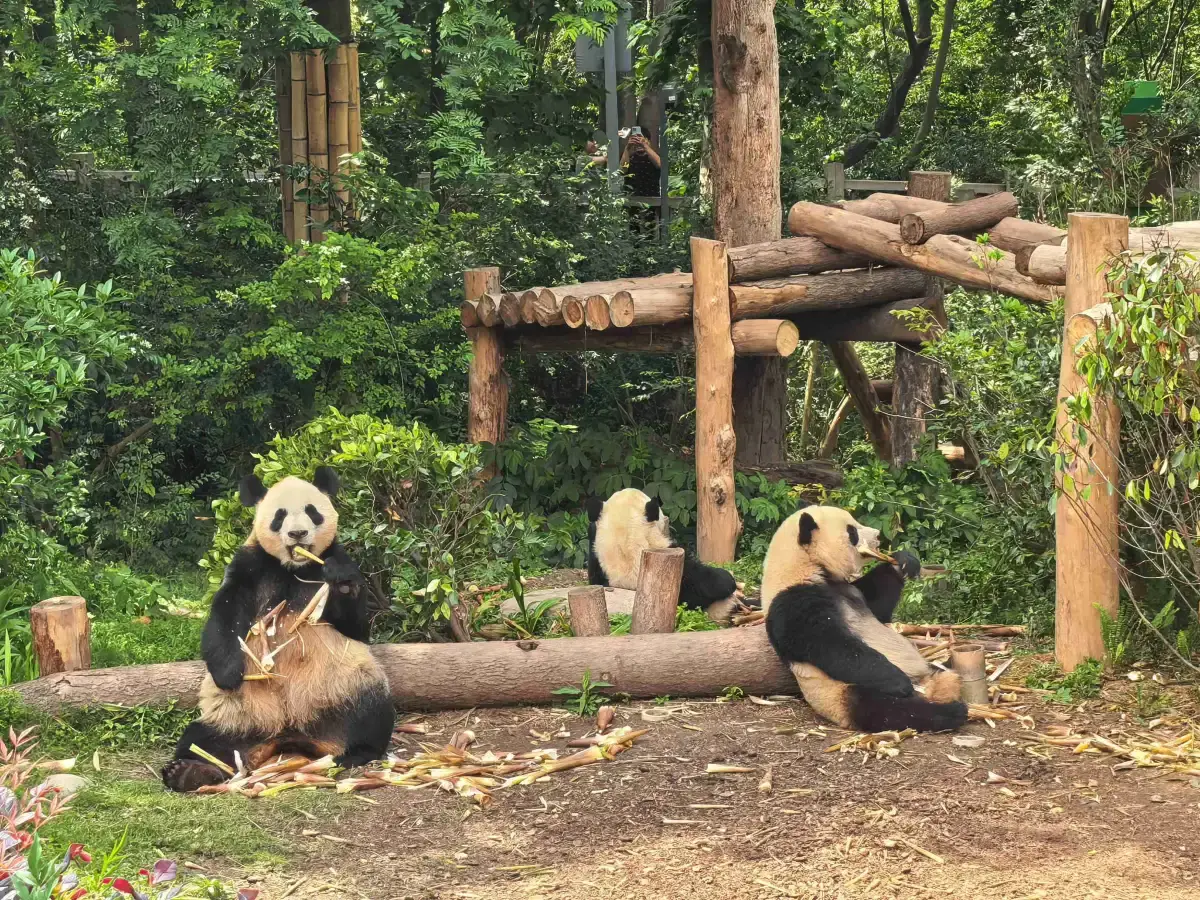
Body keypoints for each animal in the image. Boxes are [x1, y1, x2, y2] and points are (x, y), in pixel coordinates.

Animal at [162, 467, 395, 793]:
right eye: (279, 516)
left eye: (312, 512)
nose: (297, 534)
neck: (294, 567)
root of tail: (286, 733)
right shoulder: (251, 565)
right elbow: (224, 616)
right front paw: (228, 674)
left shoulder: (336, 557)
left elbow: (356, 627)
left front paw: (342, 581)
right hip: (237, 712)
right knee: (205, 739)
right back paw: (189, 772)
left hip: (344, 685)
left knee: (372, 714)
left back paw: (357, 751)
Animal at [761, 505, 967, 733]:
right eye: (852, 531)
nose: (878, 535)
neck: (805, 566)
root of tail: (929, 685)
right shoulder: (792, 601)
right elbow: (830, 644)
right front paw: (898, 681)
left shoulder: (849, 589)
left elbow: (878, 606)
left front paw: (903, 561)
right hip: (843, 692)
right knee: (888, 710)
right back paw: (949, 711)